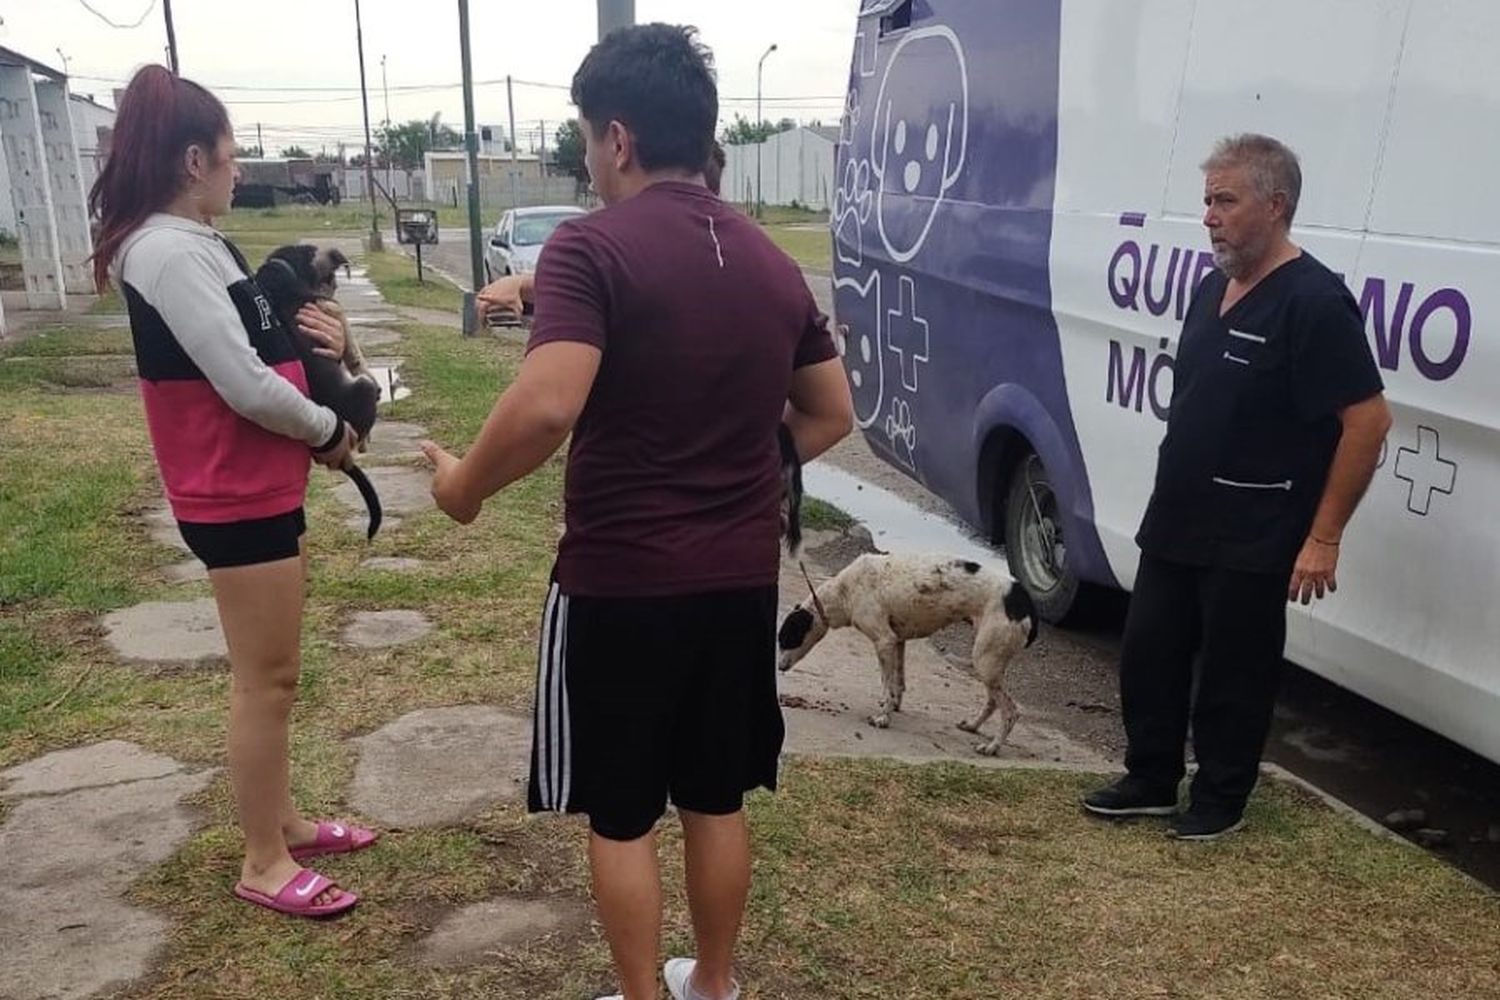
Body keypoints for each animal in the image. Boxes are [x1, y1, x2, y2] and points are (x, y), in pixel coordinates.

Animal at [255, 242, 381, 539]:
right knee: (362, 422)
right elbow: (347, 334)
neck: (282, 272)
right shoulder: (329, 309)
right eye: (331, 281)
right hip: (362, 392)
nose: (333, 288)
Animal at [780, 554, 1038, 758]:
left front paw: (883, 718)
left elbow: (886, 684)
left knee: (1011, 711)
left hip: (985, 662)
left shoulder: (884, 641)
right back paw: (973, 727)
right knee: (993, 701)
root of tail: (1025, 602)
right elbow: (898, 682)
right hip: (990, 663)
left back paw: (992, 747)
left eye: (786, 639)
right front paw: (894, 706)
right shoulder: (898, 641)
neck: (845, 590)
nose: (780, 667)